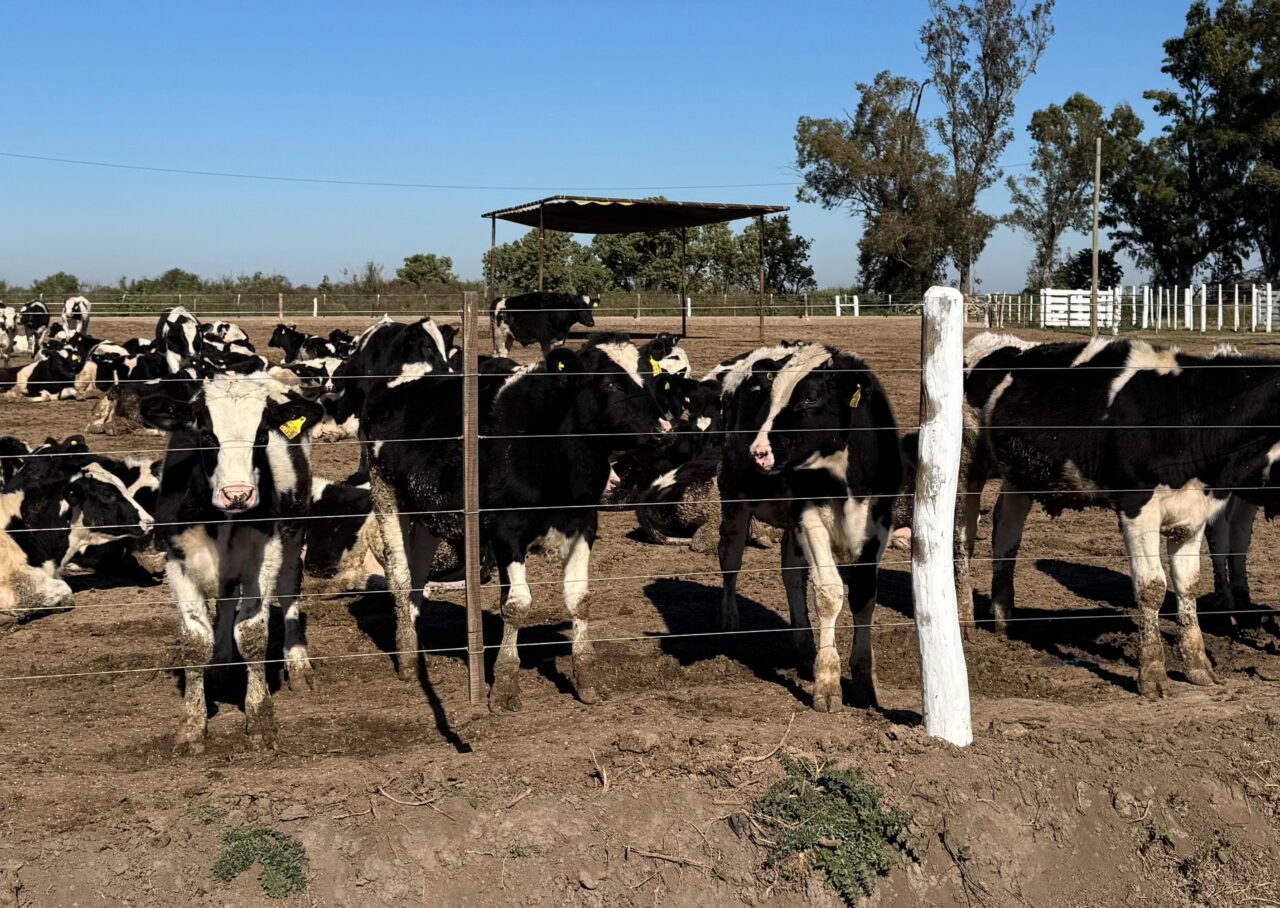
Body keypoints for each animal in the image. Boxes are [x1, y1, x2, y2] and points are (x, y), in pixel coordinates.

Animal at [139, 372, 325, 752]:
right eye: (207, 434)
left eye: (262, 435)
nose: (237, 495)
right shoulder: (177, 562)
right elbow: (195, 641)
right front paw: (192, 725)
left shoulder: (264, 557)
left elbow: (252, 633)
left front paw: (260, 718)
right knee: (225, 602)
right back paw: (223, 659)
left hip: (294, 531)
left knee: (288, 595)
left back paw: (297, 663)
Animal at [717, 343, 901, 712]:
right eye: (771, 397)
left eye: (809, 398)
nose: (758, 452)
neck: (847, 482)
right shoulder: (810, 517)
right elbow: (829, 593)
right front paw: (827, 684)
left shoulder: (879, 525)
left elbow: (864, 596)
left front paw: (864, 682)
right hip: (733, 497)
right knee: (730, 559)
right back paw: (730, 623)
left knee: (790, 573)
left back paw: (803, 648)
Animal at [958, 332, 1280, 697]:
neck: (1187, 412)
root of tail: (992, 340)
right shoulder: (1137, 505)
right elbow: (1152, 586)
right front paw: (1152, 674)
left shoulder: (1193, 512)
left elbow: (1188, 585)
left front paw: (1198, 667)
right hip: (968, 464)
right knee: (964, 539)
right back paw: (966, 621)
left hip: (1019, 473)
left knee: (1006, 531)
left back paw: (1004, 617)